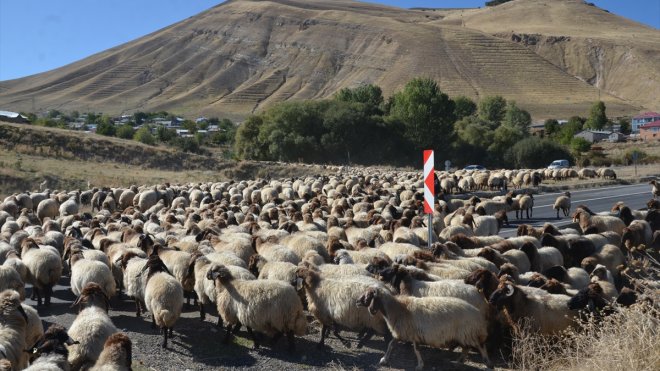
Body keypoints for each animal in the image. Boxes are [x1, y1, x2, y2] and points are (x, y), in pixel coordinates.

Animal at [356, 288, 490, 370]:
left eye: (368, 296)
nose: (357, 301)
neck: (397, 309)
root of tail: (478, 314)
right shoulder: (403, 333)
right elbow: (391, 344)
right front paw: (384, 359)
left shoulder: (413, 333)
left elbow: (416, 350)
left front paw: (420, 365)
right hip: (464, 334)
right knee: (466, 348)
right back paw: (459, 362)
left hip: (469, 332)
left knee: (481, 346)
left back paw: (487, 363)